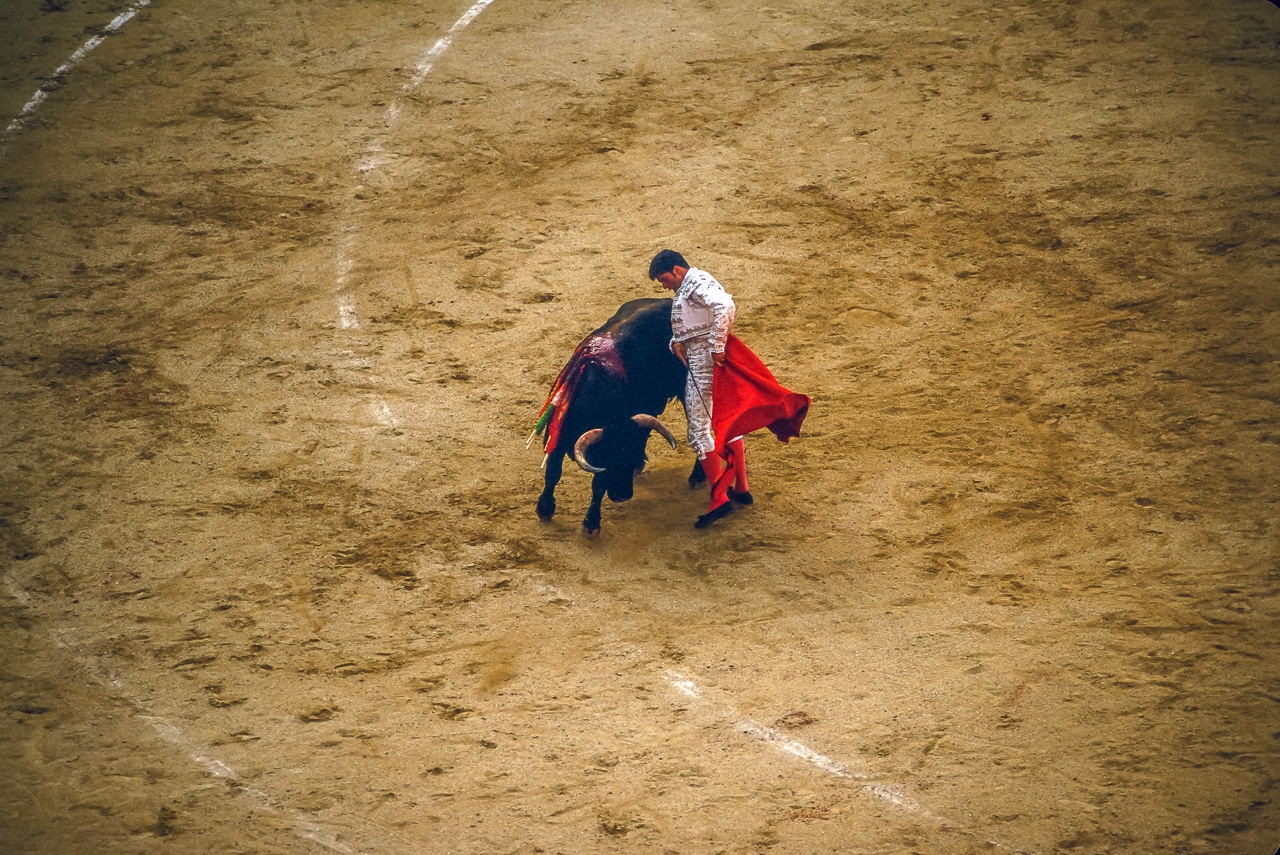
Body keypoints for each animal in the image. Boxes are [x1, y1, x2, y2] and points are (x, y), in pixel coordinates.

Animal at [535, 296, 706, 537]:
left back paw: (698, 476)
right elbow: (553, 470)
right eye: (611, 458)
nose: (623, 495)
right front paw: (545, 508)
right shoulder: (560, 433)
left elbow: (597, 485)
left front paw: (591, 523)